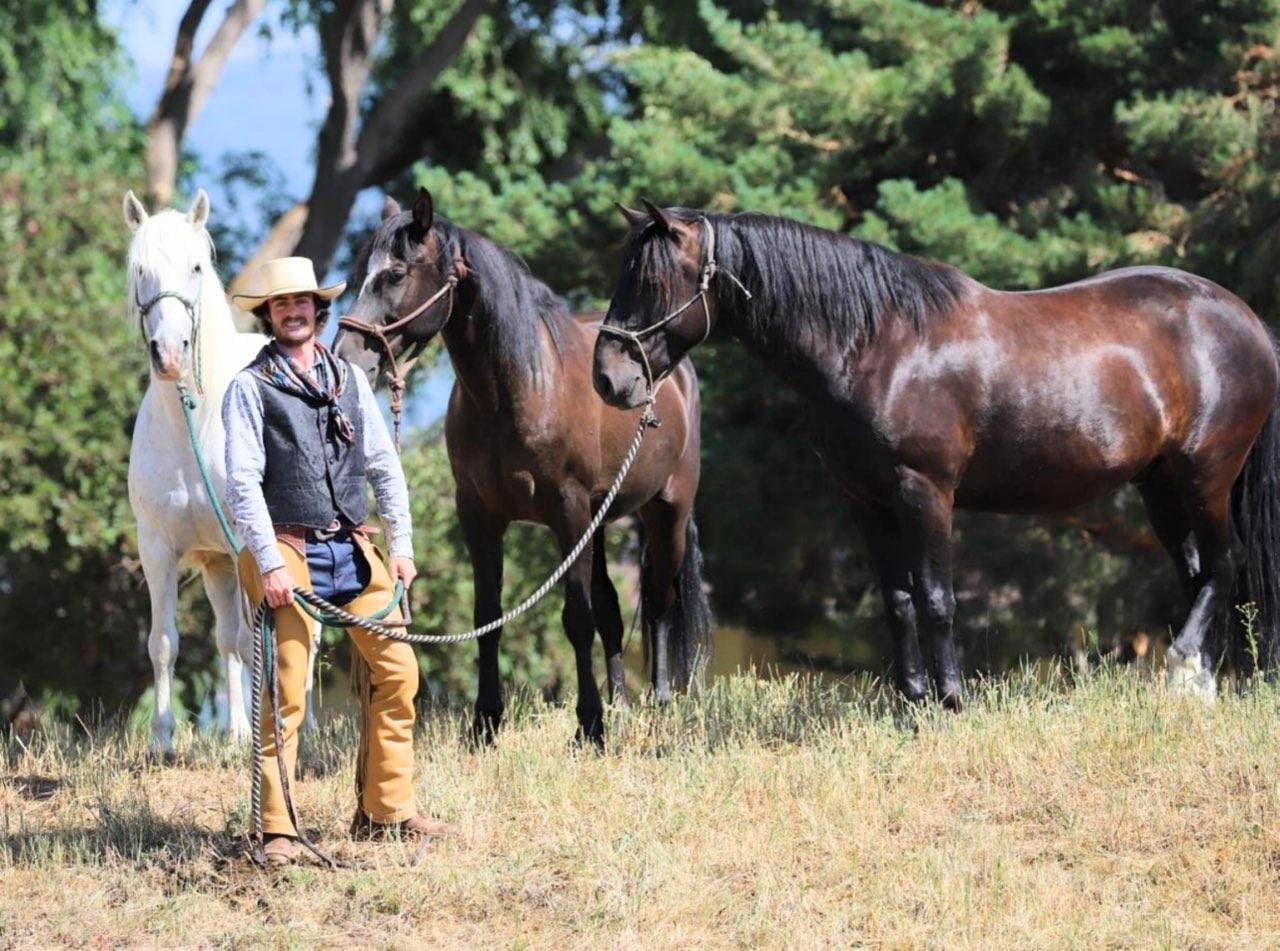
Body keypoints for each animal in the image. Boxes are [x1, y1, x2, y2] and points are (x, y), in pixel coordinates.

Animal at [123, 189, 318, 752]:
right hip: (216, 565)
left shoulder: (245, 547)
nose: (169, 354)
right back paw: (234, 731)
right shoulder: (158, 550)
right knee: (229, 638)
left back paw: (306, 729)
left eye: (195, 266)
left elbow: (257, 638)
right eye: (140, 269)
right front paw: (162, 740)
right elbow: (164, 642)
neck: (195, 421)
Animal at [332, 193, 711, 742]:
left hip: (667, 511)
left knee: (659, 602)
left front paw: (589, 726)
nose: (347, 356)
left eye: (397, 273)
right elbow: (489, 615)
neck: (519, 390)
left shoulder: (568, 512)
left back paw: (658, 703)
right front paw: (486, 722)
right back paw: (621, 703)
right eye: (363, 271)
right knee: (613, 611)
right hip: (600, 523)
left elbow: (577, 618)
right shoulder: (480, 515)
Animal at [591, 200, 1280, 706]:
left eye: (652, 280)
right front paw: (912, 702)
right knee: (1199, 574)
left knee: (1225, 564)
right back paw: (1202, 686)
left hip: (1207, 475)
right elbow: (898, 603)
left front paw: (950, 699)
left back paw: (1185, 670)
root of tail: (1244, 318)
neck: (880, 344)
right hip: (1159, 484)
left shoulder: (925, 490)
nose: (608, 378)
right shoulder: (863, 501)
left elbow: (937, 599)